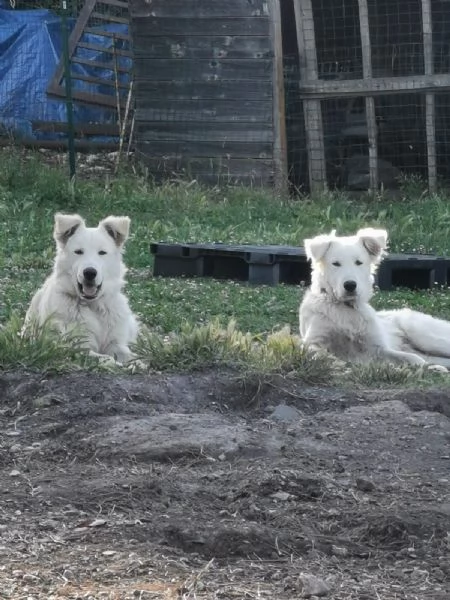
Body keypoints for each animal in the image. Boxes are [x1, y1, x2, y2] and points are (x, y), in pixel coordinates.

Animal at [24, 214, 139, 366]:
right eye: (78, 252)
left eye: (102, 253)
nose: (90, 272)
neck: (93, 306)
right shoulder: (75, 347)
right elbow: (106, 358)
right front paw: (117, 365)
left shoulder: (116, 344)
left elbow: (131, 354)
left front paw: (138, 363)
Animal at [300, 227, 450, 372]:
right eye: (336, 263)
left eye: (358, 262)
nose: (350, 285)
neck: (347, 307)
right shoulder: (313, 340)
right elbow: (317, 352)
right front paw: (334, 361)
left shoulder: (377, 347)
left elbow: (412, 358)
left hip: (423, 334)